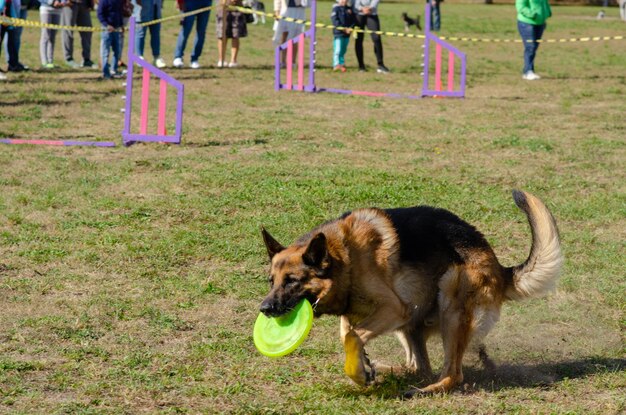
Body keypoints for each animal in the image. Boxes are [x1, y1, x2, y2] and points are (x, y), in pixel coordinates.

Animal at [258, 192, 560, 396]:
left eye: (292, 281)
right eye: (271, 281)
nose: (265, 309)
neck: (345, 256)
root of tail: (498, 267)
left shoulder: (393, 308)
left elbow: (353, 336)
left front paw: (358, 373)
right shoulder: (359, 312)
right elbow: (348, 335)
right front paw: (362, 367)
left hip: (449, 303)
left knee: (453, 374)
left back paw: (422, 391)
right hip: (410, 323)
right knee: (419, 367)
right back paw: (392, 371)